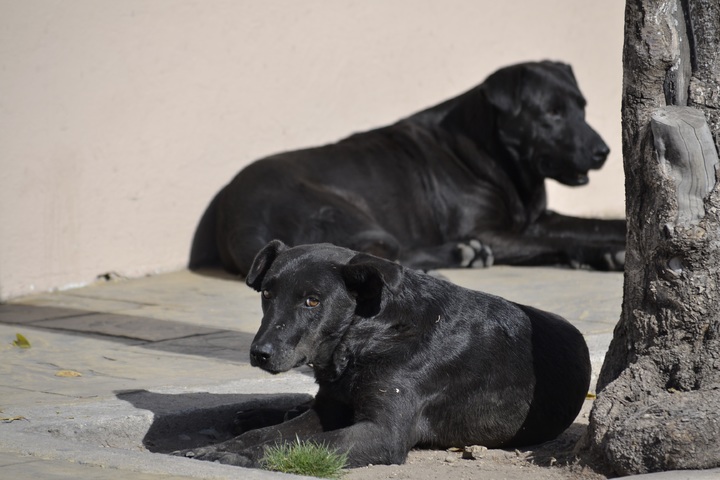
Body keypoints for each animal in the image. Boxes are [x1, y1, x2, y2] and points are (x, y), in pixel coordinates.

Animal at [179, 242, 592, 466]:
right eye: (267, 293)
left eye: (313, 300)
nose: (259, 354)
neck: (369, 335)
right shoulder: (330, 409)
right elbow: (273, 433)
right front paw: (227, 445)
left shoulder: (382, 432)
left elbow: (297, 442)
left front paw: (240, 456)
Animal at [202, 61, 624, 274]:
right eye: (551, 113)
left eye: (582, 107)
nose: (604, 151)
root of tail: (238, 218)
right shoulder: (487, 231)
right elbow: (559, 242)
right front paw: (607, 253)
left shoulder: (535, 220)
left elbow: (598, 225)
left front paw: (616, 245)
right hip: (352, 216)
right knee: (379, 257)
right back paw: (457, 256)